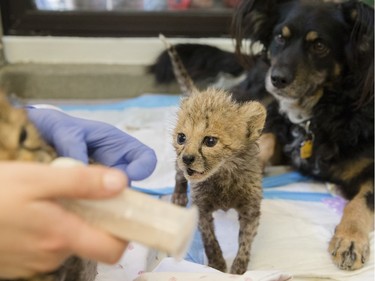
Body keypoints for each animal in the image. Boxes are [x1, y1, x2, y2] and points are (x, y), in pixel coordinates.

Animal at [149, 0, 374, 272]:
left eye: (320, 46)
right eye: (280, 37)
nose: (277, 78)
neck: (316, 115)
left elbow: (359, 203)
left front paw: (350, 240)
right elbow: (265, 141)